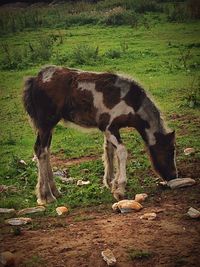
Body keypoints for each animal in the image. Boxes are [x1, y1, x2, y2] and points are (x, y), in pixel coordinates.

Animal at [22, 66, 177, 206]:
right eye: (170, 151)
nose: (173, 176)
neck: (130, 101)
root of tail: (36, 79)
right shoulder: (109, 127)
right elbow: (121, 151)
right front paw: (120, 189)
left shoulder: (110, 129)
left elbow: (109, 151)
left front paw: (111, 183)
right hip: (46, 123)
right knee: (41, 151)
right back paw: (47, 196)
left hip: (50, 126)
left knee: (45, 151)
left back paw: (55, 192)